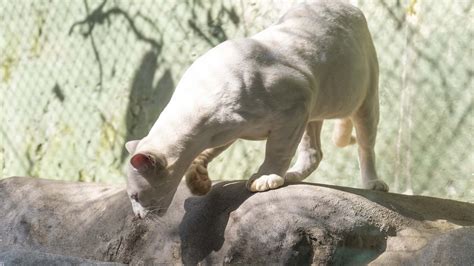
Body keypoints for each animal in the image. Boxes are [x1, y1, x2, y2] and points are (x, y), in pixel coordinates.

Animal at [126, 0, 388, 218]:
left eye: (135, 196)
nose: (137, 217)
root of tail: (348, 5)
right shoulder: (229, 130)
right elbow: (205, 153)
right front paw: (199, 181)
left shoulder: (294, 108)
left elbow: (277, 150)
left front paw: (265, 177)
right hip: (314, 112)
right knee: (314, 153)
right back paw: (292, 175)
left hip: (365, 100)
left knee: (365, 145)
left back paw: (373, 183)